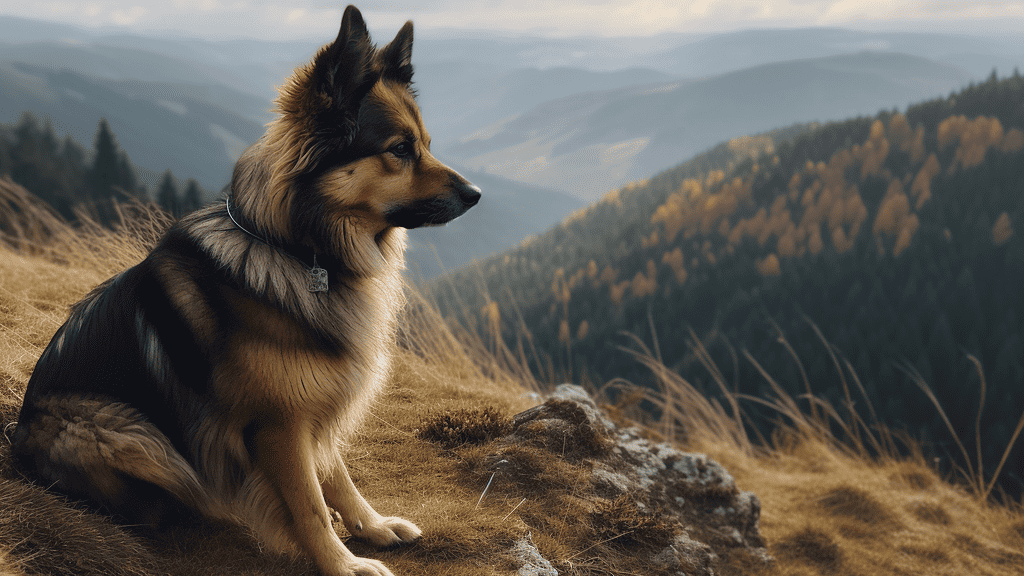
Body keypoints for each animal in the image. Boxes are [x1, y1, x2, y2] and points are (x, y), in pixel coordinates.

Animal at [9, 5, 479, 573]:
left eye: (426, 145)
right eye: (400, 150)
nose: (477, 194)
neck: (300, 249)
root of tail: (16, 445)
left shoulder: (313, 403)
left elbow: (336, 475)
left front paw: (372, 527)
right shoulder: (277, 424)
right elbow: (309, 503)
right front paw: (342, 563)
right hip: (123, 430)